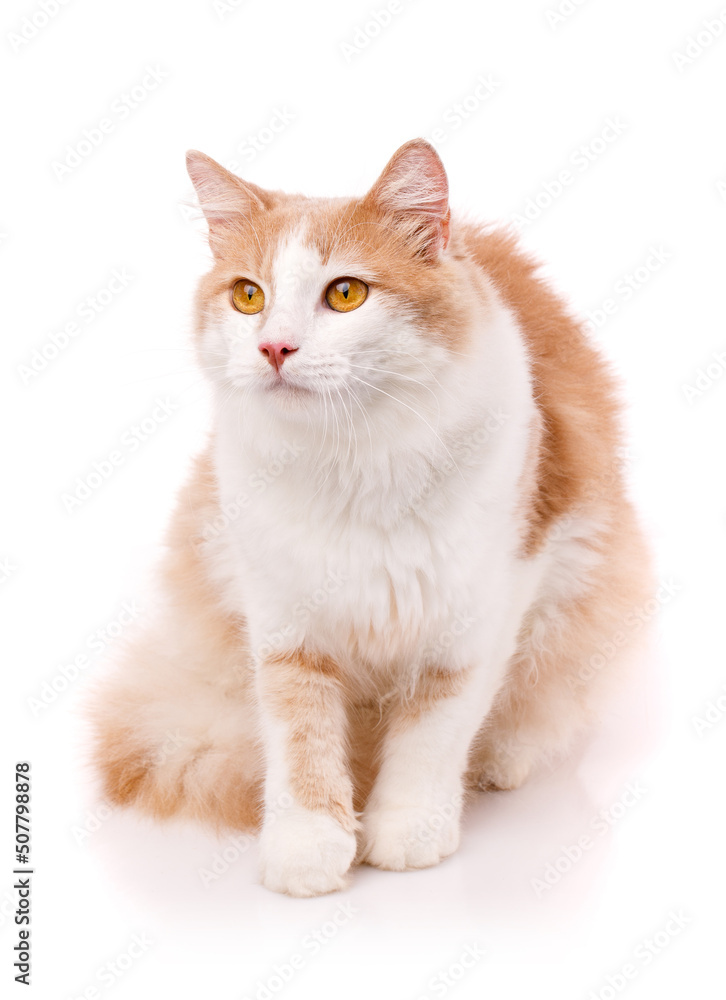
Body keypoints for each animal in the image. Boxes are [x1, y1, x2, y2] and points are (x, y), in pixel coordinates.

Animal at [91, 139, 656, 900]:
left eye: (345, 294)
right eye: (249, 295)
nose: (274, 347)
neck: (351, 463)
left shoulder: (477, 615)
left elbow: (433, 735)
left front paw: (407, 829)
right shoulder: (283, 621)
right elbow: (299, 737)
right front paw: (309, 845)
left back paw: (500, 762)